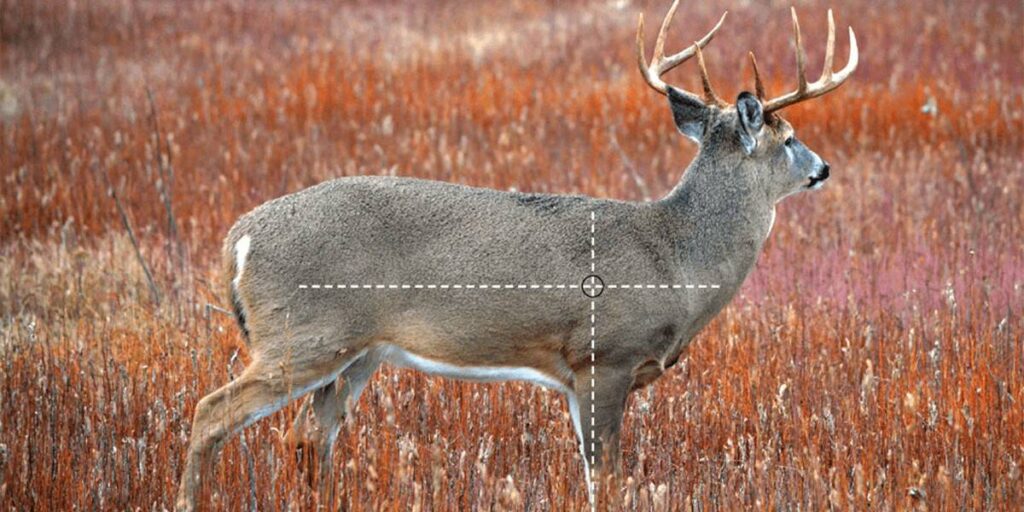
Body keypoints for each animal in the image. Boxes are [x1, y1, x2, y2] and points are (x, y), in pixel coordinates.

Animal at [175, 1, 857, 509]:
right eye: (790, 139)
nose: (824, 167)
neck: (677, 259)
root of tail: (239, 237)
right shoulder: (603, 357)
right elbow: (606, 481)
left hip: (358, 351)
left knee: (307, 437)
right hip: (305, 333)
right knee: (211, 412)